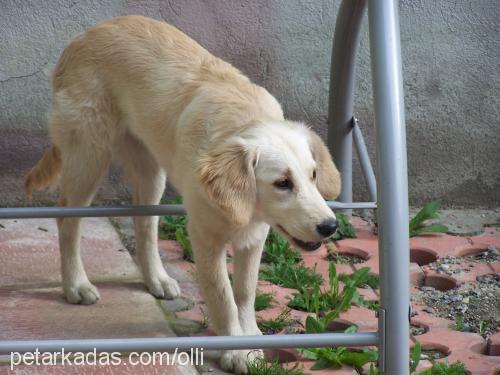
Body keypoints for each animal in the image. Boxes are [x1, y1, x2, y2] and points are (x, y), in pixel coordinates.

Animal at [25, 16, 342, 374]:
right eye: (283, 183)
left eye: (313, 175)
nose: (330, 227)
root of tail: (87, 33)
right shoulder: (205, 238)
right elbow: (223, 296)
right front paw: (236, 349)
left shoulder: (253, 237)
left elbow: (245, 292)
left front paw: (252, 338)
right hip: (88, 157)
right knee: (67, 220)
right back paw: (76, 285)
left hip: (150, 172)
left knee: (145, 226)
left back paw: (156, 279)